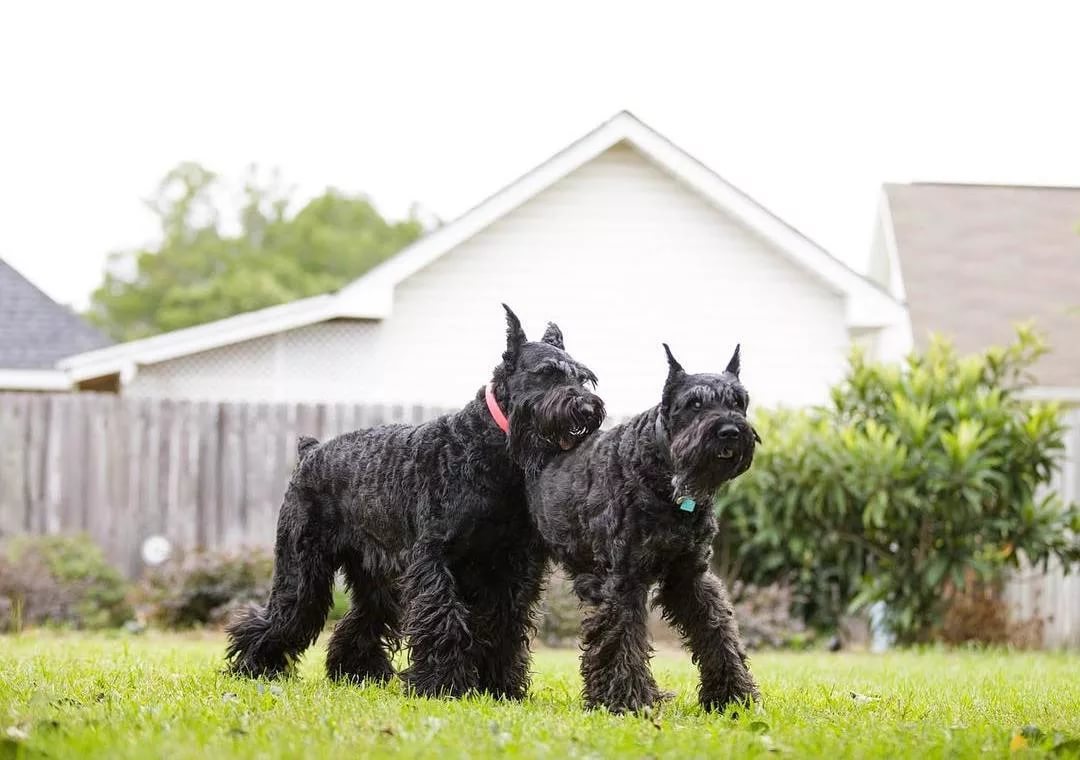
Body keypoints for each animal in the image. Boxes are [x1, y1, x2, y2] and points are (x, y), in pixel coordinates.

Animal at [225, 304, 609, 699]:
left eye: (584, 378)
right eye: (546, 373)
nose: (587, 408)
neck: (491, 452)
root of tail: (310, 452)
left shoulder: (512, 568)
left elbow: (504, 626)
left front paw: (501, 687)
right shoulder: (434, 560)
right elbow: (445, 619)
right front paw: (443, 685)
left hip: (376, 577)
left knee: (362, 618)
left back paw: (357, 672)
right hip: (303, 569)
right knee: (285, 614)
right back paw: (254, 666)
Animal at [524, 345, 760, 712]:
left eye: (738, 401)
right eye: (694, 403)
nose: (730, 431)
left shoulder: (689, 574)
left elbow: (716, 627)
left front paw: (732, 695)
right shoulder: (624, 579)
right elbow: (622, 637)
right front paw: (626, 699)